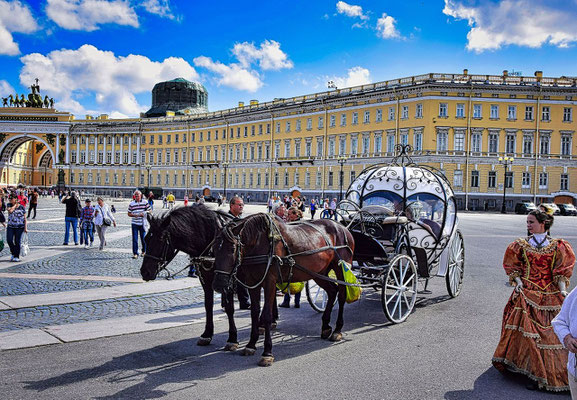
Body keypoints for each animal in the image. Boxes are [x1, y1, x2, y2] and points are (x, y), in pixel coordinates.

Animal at [142, 205, 243, 352]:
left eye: (160, 239)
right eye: (146, 239)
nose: (144, 272)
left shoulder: (228, 280)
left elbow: (230, 308)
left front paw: (232, 338)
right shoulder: (205, 279)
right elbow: (208, 305)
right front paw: (207, 334)